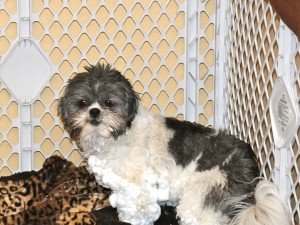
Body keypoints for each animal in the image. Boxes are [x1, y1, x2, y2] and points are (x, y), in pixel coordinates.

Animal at [58, 63, 290, 225]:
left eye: (109, 103)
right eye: (82, 103)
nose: (94, 112)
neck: (117, 135)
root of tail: (249, 168)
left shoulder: (136, 182)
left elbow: (137, 204)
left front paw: (133, 218)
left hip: (204, 195)